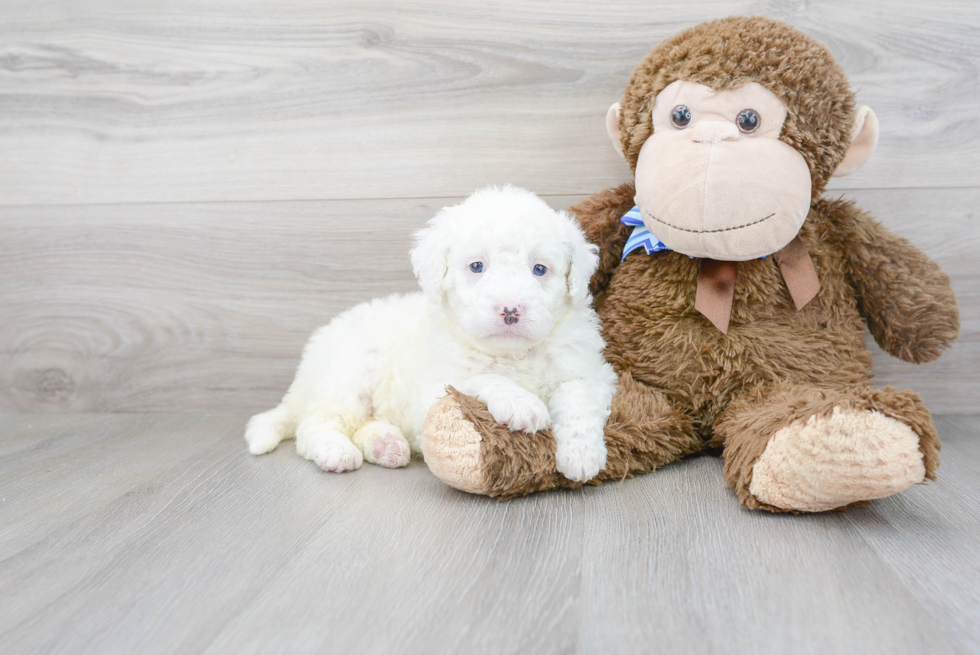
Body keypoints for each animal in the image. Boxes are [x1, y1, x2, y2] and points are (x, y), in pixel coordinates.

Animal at [245, 184, 612, 482]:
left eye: (539, 269)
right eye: (476, 267)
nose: (510, 310)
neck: (510, 354)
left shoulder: (589, 370)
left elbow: (578, 396)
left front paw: (582, 455)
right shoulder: (432, 389)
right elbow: (479, 378)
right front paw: (521, 402)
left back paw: (385, 445)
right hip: (348, 377)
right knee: (314, 424)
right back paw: (336, 451)